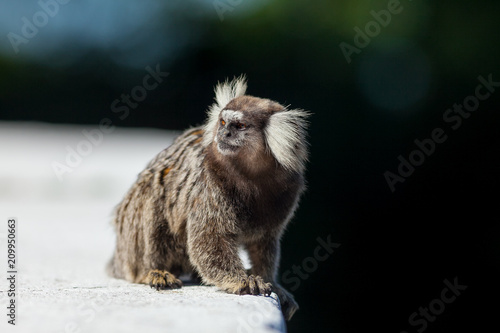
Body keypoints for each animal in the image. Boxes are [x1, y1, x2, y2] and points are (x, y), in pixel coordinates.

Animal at [107, 76, 308, 320]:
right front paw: (242, 280)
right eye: (223, 123)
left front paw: (272, 283)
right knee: (153, 196)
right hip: (131, 242)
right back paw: (152, 272)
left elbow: (264, 243)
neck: (252, 176)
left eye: (239, 126)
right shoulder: (210, 182)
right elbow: (209, 239)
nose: (224, 134)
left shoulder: (287, 189)